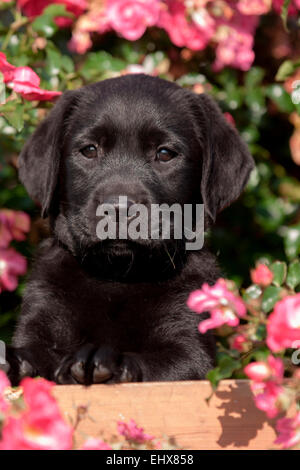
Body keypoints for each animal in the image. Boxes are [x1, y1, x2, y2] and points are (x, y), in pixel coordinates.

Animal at [5, 75, 253, 386]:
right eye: (89, 150)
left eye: (164, 154)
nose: (118, 209)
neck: (118, 275)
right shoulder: (43, 312)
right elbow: (35, 351)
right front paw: (12, 359)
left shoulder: (191, 352)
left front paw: (103, 360)